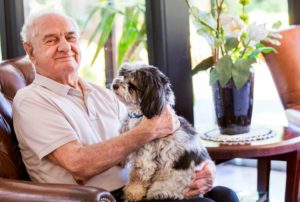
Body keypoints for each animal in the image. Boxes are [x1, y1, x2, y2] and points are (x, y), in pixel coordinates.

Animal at [111, 64, 212, 201]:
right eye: (123, 75)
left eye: (132, 84)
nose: (115, 85)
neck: (138, 115)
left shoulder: (145, 158)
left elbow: (138, 177)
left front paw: (131, 194)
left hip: (159, 188)